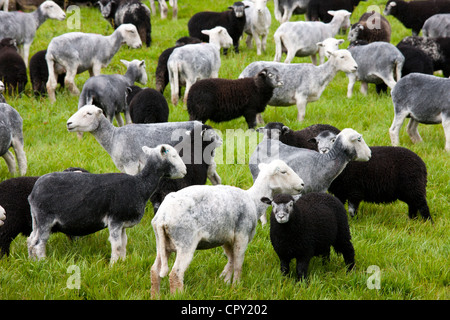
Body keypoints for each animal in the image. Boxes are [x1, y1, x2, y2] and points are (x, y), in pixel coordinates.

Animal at [26, 144, 186, 262]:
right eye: (173, 155)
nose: (185, 171)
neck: (140, 185)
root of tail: (33, 192)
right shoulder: (115, 220)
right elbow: (116, 245)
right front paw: (113, 265)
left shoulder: (122, 223)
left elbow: (123, 243)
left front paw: (122, 263)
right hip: (45, 218)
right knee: (39, 243)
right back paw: (43, 262)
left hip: (36, 219)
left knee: (31, 240)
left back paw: (32, 262)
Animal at [66, 105, 221, 186]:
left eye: (89, 113)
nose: (68, 123)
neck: (113, 137)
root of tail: (206, 128)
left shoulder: (131, 164)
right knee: (215, 179)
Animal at [149, 159, 304, 296]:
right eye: (283, 171)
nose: (302, 184)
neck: (253, 201)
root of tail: (162, 216)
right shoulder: (242, 234)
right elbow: (238, 263)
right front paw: (236, 286)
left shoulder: (227, 238)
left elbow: (231, 259)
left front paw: (225, 281)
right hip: (185, 242)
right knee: (176, 274)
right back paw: (178, 295)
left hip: (162, 243)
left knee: (154, 271)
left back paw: (155, 295)